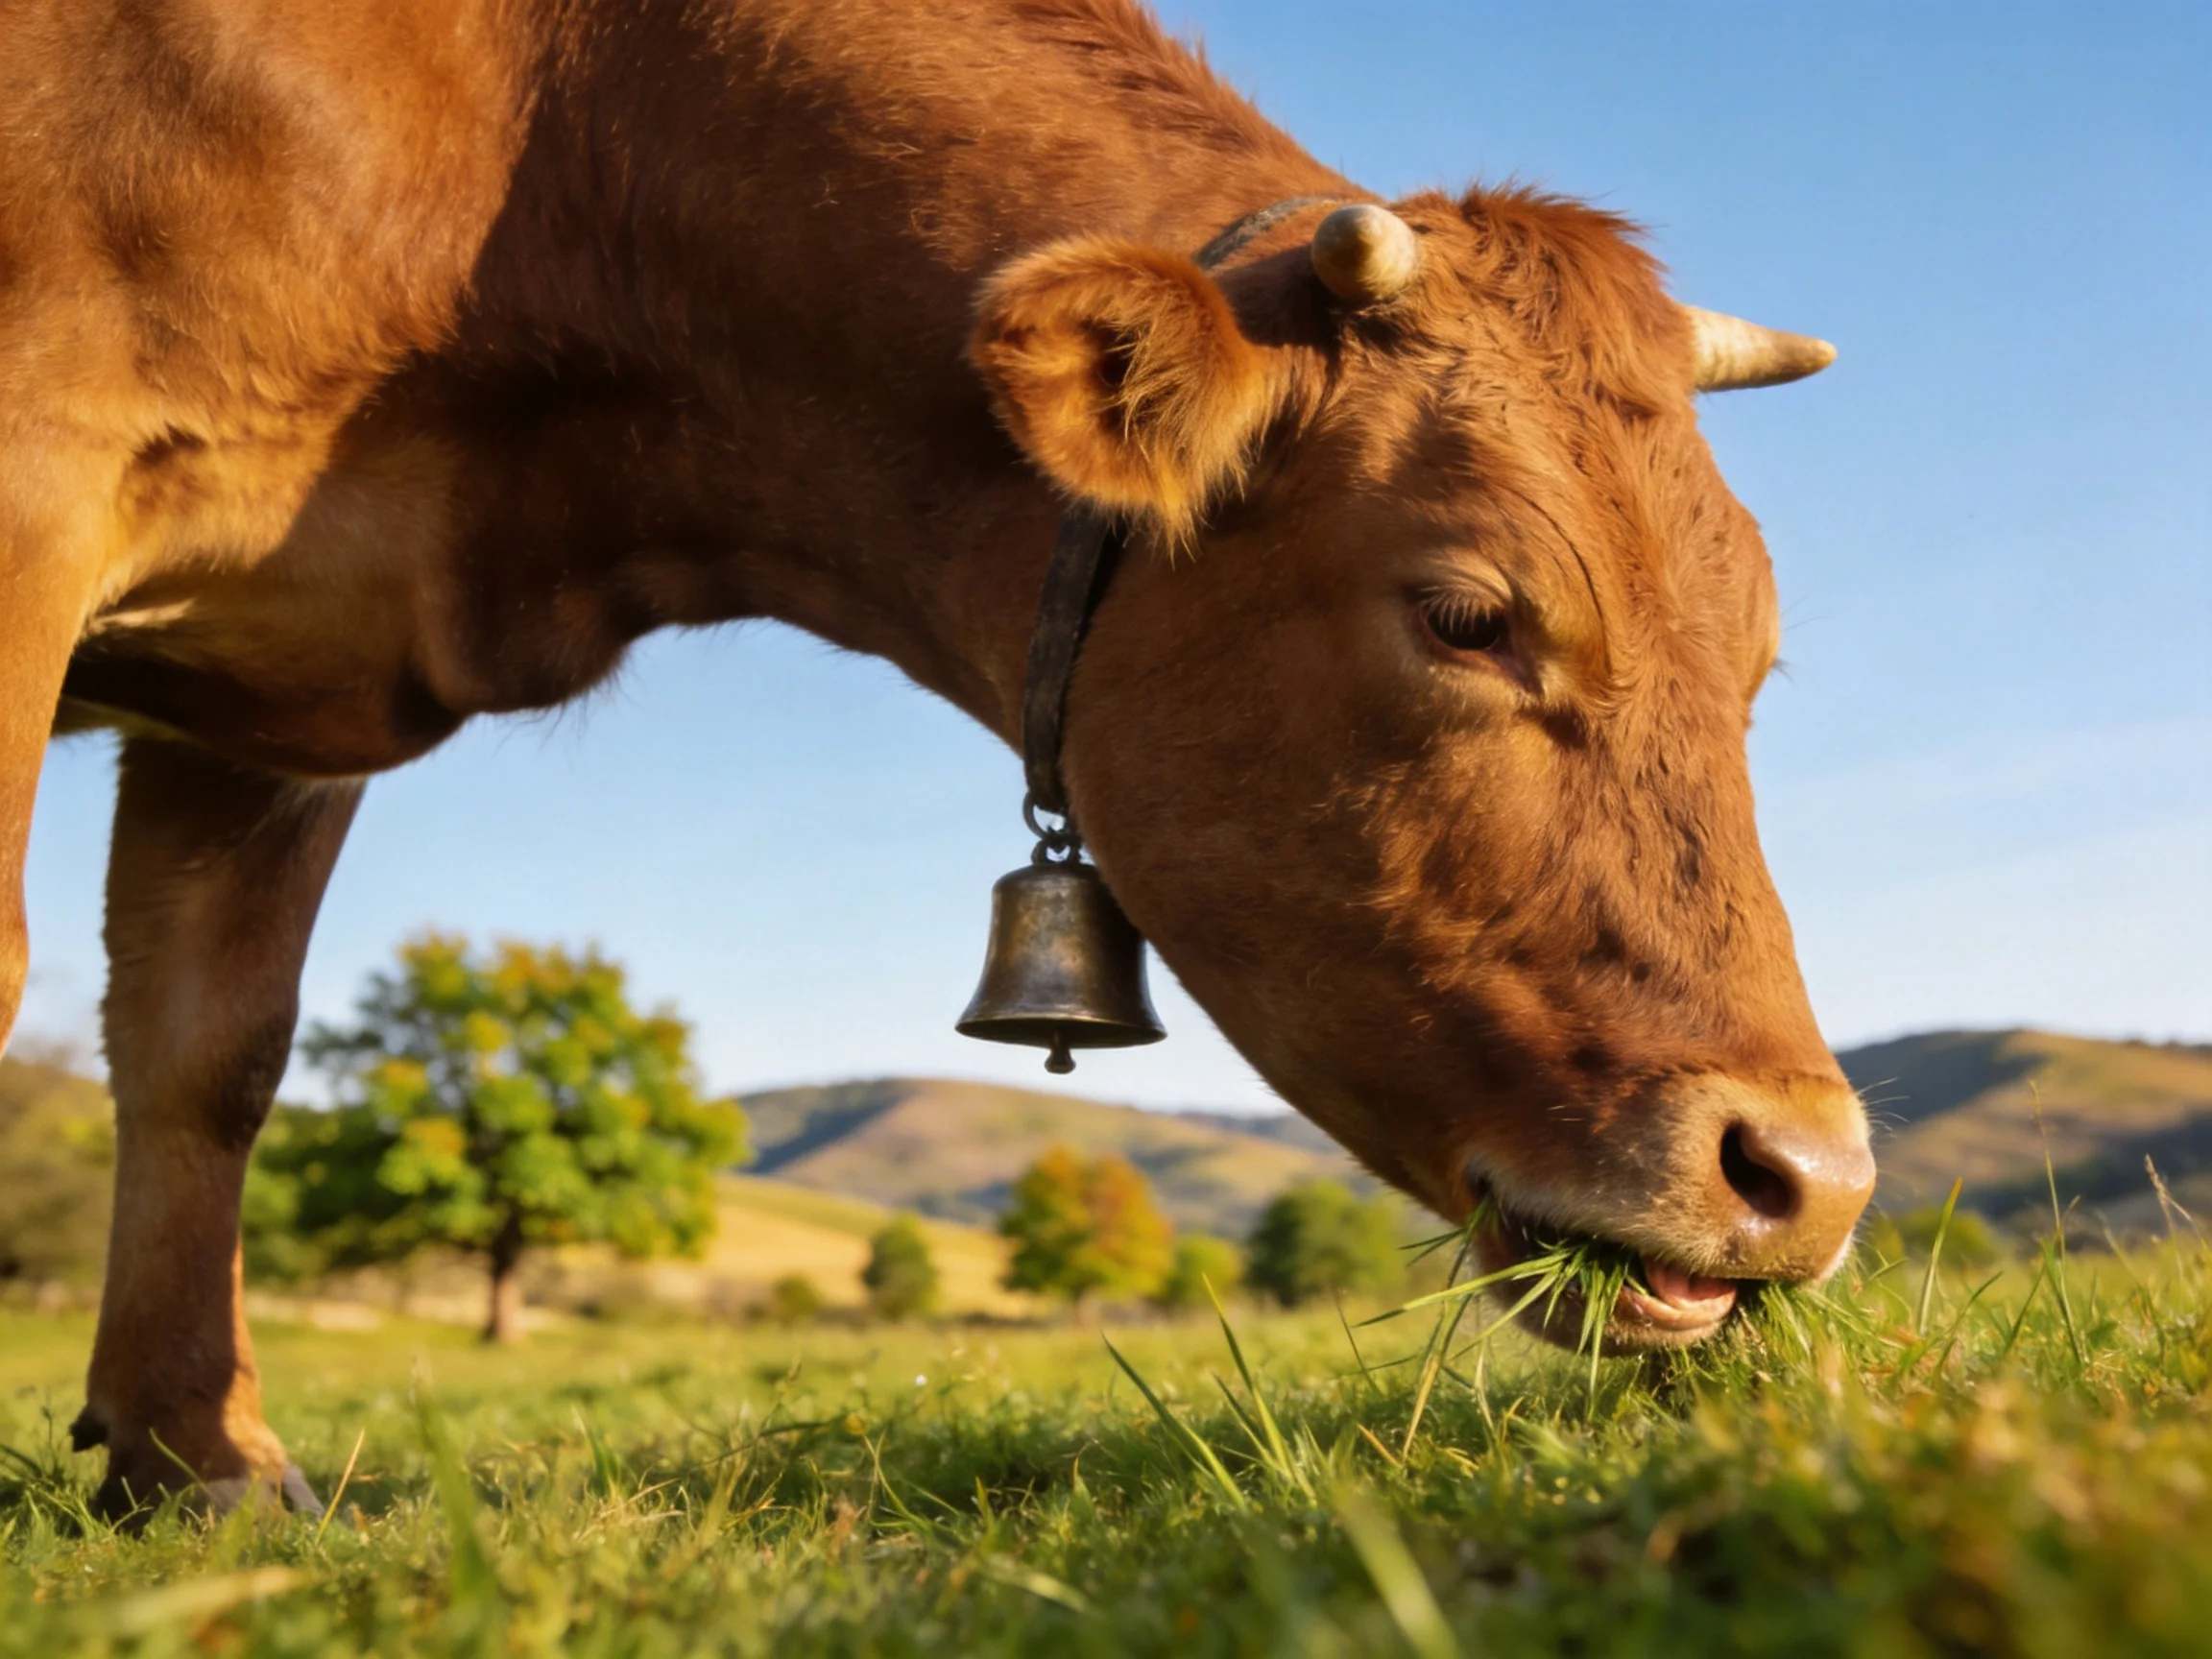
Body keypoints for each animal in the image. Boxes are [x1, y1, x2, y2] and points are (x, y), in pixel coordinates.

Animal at [0, 0, 1874, 1513]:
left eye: (1760, 652)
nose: (1807, 1177)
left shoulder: (267, 701)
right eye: (1468, 614)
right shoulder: (44, 489)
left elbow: (210, 1053)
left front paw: (199, 1461)